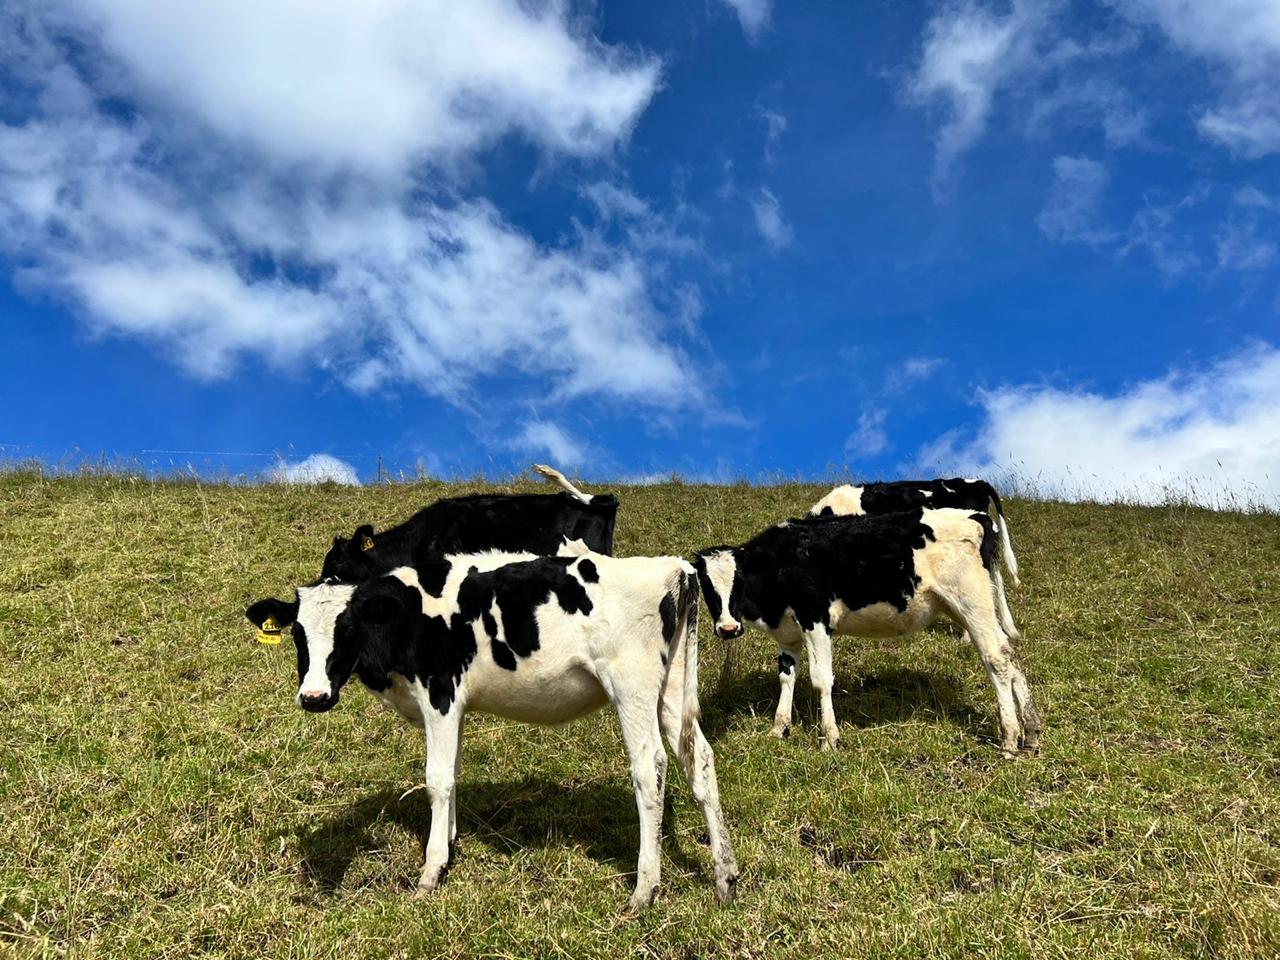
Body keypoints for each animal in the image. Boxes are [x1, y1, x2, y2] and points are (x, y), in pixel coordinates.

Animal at [245, 547, 739, 911]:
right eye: (297, 635)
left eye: (348, 628)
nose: (314, 697)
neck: (409, 616)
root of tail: (672, 566)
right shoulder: (456, 706)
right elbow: (453, 771)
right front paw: (449, 842)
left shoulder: (440, 694)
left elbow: (437, 779)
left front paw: (432, 870)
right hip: (670, 689)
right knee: (699, 760)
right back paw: (726, 876)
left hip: (631, 686)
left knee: (650, 768)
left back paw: (644, 889)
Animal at [693, 508, 1039, 759]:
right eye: (706, 586)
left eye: (739, 580)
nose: (727, 628)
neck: (782, 564)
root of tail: (976, 516)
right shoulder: (789, 635)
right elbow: (786, 677)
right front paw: (779, 729)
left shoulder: (816, 619)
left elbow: (821, 680)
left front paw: (829, 738)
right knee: (1009, 652)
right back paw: (1032, 730)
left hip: (971, 602)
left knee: (996, 658)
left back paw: (1010, 738)